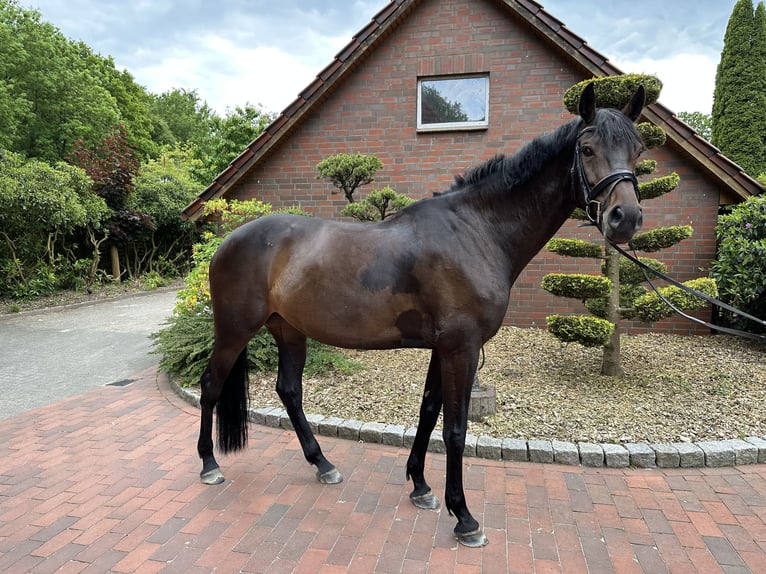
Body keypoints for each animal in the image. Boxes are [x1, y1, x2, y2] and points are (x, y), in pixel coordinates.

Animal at [194, 84, 648, 548]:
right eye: (588, 149)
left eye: (638, 150)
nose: (625, 218)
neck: (476, 232)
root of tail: (228, 240)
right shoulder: (461, 347)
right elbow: (456, 429)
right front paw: (464, 517)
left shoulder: (442, 347)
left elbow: (428, 411)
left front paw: (421, 487)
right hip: (234, 329)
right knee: (211, 384)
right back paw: (210, 465)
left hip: (288, 329)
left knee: (289, 390)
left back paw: (323, 465)